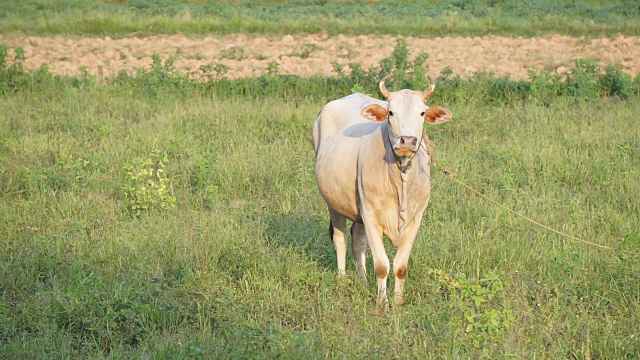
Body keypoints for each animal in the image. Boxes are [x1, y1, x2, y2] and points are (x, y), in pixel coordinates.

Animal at [312, 75, 452, 310]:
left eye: (422, 113)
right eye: (390, 112)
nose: (407, 141)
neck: (401, 179)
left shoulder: (415, 218)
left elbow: (400, 266)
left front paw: (398, 301)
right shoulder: (370, 214)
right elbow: (382, 265)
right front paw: (382, 304)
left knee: (358, 241)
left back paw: (363, 281)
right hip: (333, 202)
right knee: (341, 239)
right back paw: (342, 279)